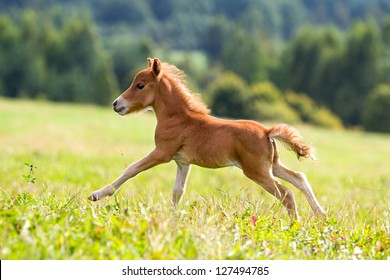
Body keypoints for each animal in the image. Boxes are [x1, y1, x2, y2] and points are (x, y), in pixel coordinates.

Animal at [89, 58, 326, 221]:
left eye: (140, 85)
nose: (116, 104)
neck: (178, 117)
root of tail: (267, 131)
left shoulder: (163, 153)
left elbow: (131, 169)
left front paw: (97, 195)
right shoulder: (182, 162)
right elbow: (177, 191)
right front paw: (172, 220)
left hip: (257, 171)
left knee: (287, 194)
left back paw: (296, 225)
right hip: (272, 166)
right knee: (299, 178)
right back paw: (321, 214)